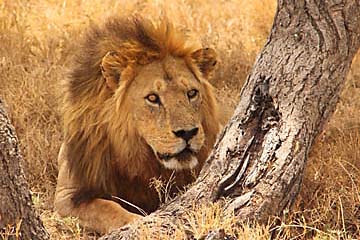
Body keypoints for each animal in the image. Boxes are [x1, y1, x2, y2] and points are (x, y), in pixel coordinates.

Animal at [54, 15, 221, 233]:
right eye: (152, 98)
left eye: (192, 93)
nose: (188, 133)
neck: (135, 151)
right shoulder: (67, 195)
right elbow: (107, 208)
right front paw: (140, 224)